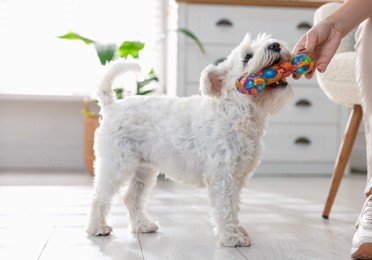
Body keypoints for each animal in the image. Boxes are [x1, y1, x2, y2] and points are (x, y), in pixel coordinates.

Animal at [86, 33, 294, 247]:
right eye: (247, 57)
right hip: (117, 164)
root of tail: (112, 106)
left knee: (130, 198)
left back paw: (143, 225)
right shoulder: (223, 176)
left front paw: (238, 231)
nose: (275, 45)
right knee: (99, 196)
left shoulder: (238, 177)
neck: (235, 113)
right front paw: (232, 237)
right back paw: (97, 228)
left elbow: (234, 207)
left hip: (144, 169)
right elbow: (225, 208)